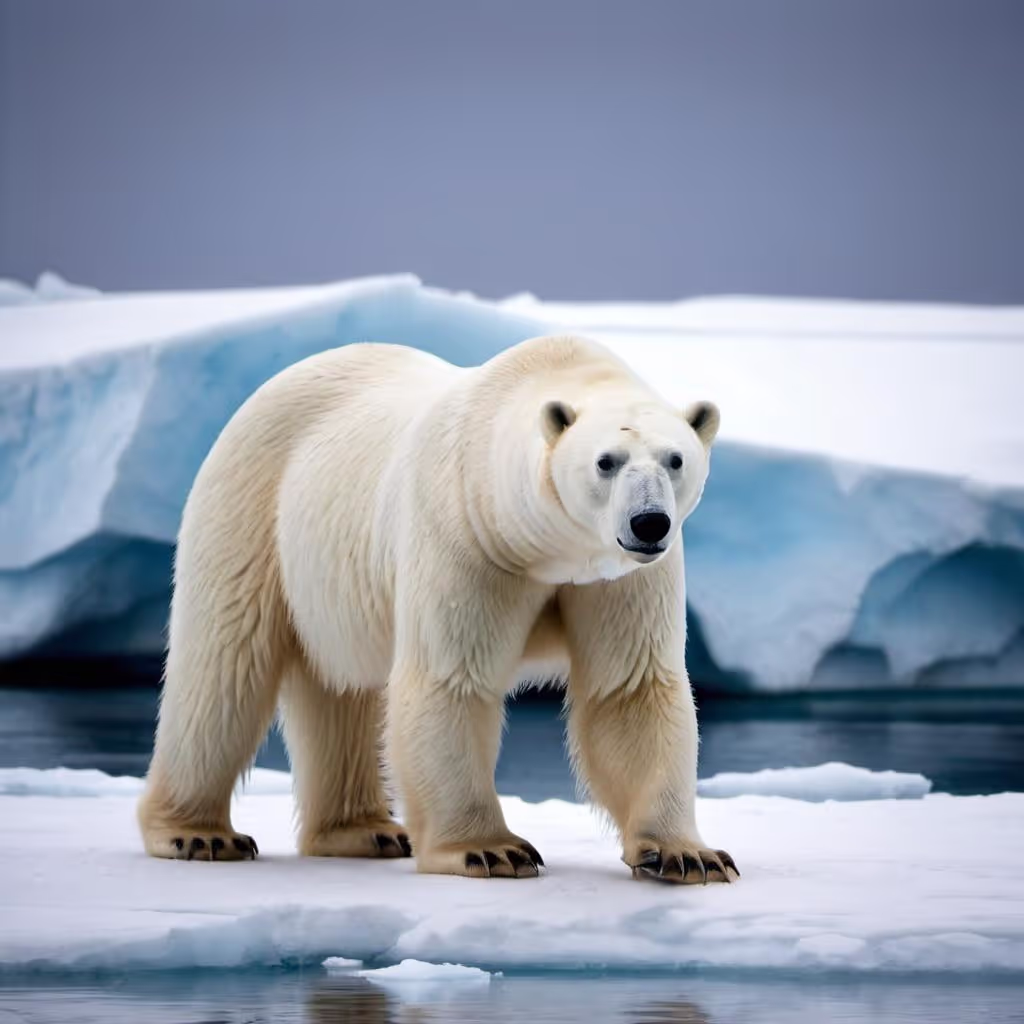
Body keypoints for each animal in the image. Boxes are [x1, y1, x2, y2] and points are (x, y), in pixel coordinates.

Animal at [138, 333, 738, 884]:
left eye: (676, 458)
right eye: (606, 462)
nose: (649, 522)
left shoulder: (621, 576)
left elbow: (631, 689)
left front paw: (688, 855)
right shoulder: (464, 535)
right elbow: (451, 678)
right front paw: (490, 850)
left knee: (340, 687)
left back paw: (365, 831)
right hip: (251, 506)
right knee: (224, 668)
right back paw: (197, 834)